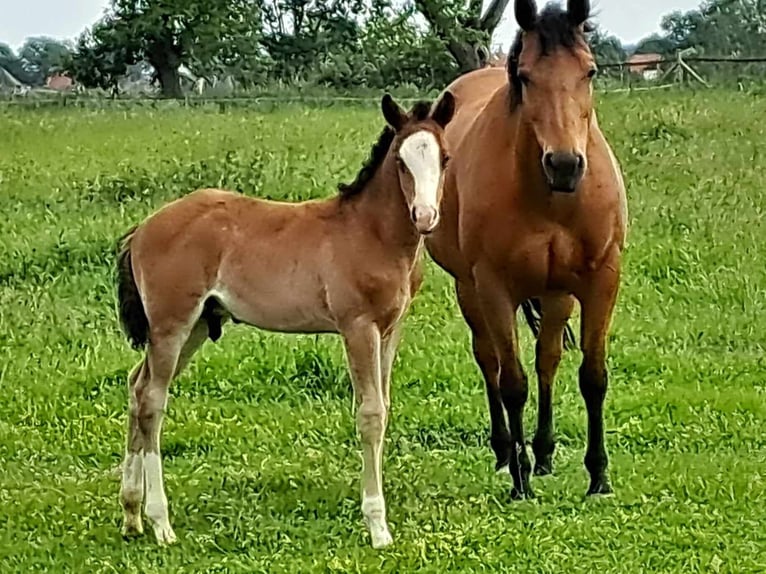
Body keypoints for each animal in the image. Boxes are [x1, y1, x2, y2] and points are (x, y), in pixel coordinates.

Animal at [115, 92, 456, 552]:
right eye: (401, 161)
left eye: (445, 158)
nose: (424, 215)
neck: (370, 234)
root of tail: (143, 229)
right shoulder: (357, 327)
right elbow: (369, 414)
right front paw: (377, 526)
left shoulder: (390, 330)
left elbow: (384, 407)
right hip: (172, 324)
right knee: (152, 400)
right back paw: (160, 521)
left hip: (197, 324)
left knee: (137, 386)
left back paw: (131, 513)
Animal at [426, 0, 632, 502]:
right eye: (525, 76)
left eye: (590, 71)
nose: (564, 165)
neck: (550, 200)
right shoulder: (494, 286)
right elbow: (512, 382)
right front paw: (520, 483)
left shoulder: (601, 279)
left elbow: (592, 376)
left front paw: (599, 476)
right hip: (470, 290)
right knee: (489, 361)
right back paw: (507, 454)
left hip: (555, 293)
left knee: (548, 359)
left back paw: (543, 453)